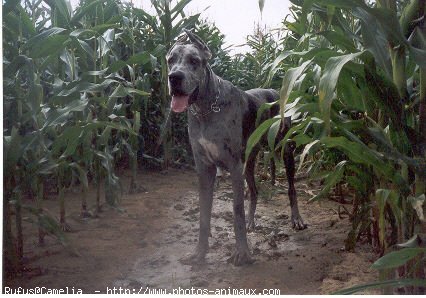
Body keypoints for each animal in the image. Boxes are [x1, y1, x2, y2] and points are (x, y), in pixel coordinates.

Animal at [167, 28, 306, 266]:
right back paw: (252, 221)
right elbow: (204, 214)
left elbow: (236, 209)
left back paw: (296, 219)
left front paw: (242, 253)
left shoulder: (233, 166)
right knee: (254, 190)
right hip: (249, 161)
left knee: (291, 188)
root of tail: (275, 91)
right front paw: (199, 252)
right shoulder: (204, 168)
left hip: (284, 150)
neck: (205, 109)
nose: (174, 77)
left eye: (194, 61)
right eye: (170, 60)